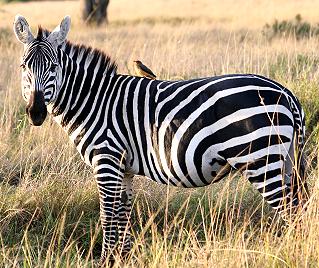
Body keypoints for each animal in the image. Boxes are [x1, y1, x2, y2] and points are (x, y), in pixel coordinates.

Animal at [13, 15, 310, 264]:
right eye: (23, 66)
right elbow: (122, 215)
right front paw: (123, 259)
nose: (36, 112)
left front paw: (107, 260)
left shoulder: (107, 160)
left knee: (293, 213)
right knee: (301, 209)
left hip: (262, 161)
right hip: (285, 161)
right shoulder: (124, 168)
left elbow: (107, 215)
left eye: (54, 66)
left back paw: (294, 253)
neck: (94, 101)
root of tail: (287, 93)